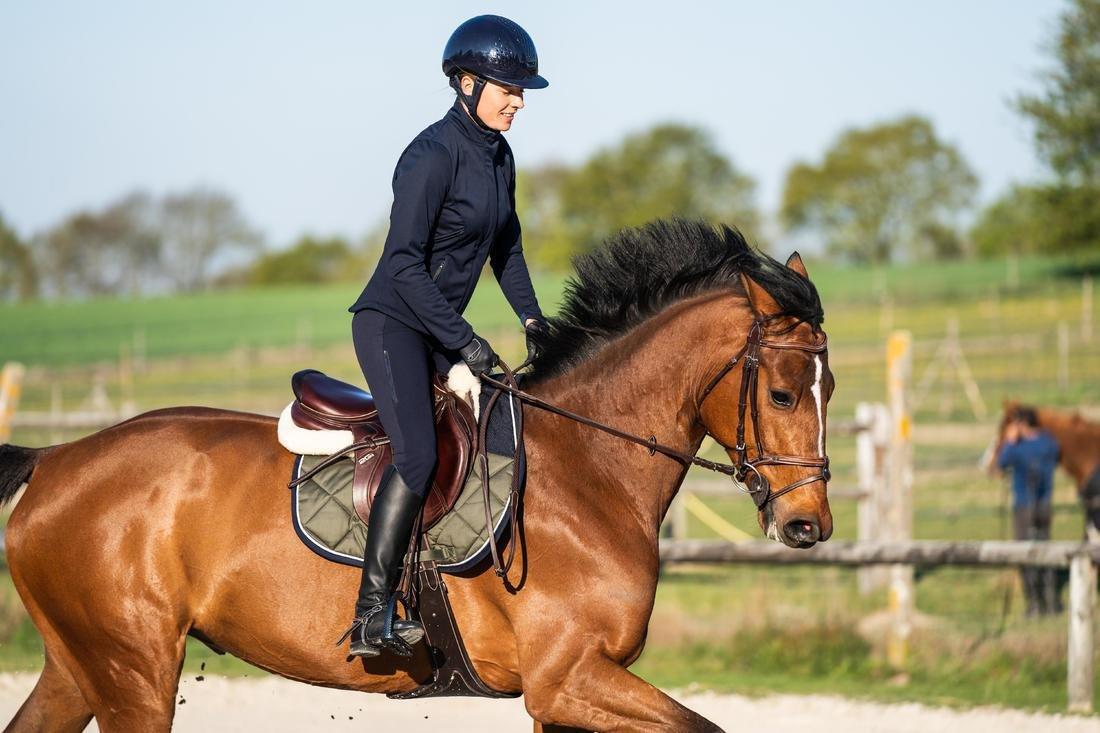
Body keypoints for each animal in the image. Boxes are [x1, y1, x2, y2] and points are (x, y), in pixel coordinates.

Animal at [0, 220, 833, 732]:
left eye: (830, 388)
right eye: (784, 393)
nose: (809, 525)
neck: (586, 467)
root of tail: (56, 459)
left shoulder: (565, 694)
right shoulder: (567, 677)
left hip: (82, 664)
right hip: (133, 668)